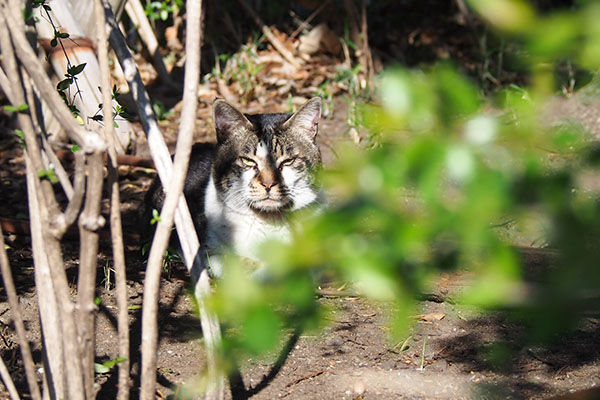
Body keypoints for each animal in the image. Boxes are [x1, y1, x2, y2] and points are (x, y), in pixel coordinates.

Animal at [144, 97, 324, 278]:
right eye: (248, 161)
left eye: (288, 161)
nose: (268, 184)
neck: (269, 219)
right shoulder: (203, 250)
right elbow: (239, 264)